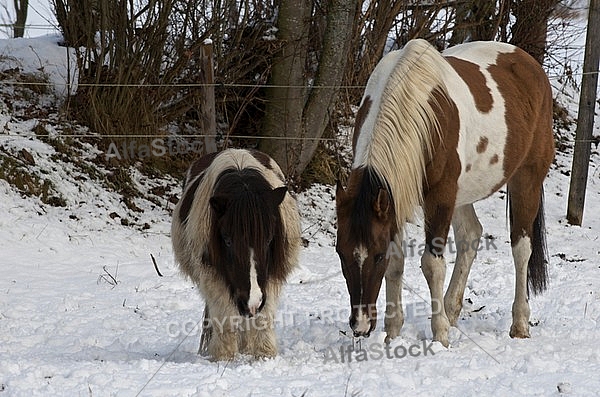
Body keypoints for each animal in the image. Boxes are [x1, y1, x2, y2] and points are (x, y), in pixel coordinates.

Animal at [172, 148, 300, 358]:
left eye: (268, 239)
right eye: (227, 240)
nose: (252, 301)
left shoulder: (270, 278)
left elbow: (263, 317)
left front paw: (264, 355)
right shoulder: (213, 277)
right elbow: (225, 319)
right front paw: (223, 357)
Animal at [336, 38, 556, 344]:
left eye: (376, 255)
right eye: (340, 253)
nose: (360, 325)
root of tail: (531, 65)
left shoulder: (440, 197)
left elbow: (431, 263)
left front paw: (439, 333)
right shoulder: (395, 199)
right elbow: (398, 262)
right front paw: (393, 333)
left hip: (527, 179)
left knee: (522, 249)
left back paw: (519, 323)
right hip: (462, 194)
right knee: (471, 236)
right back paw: (452, 310)